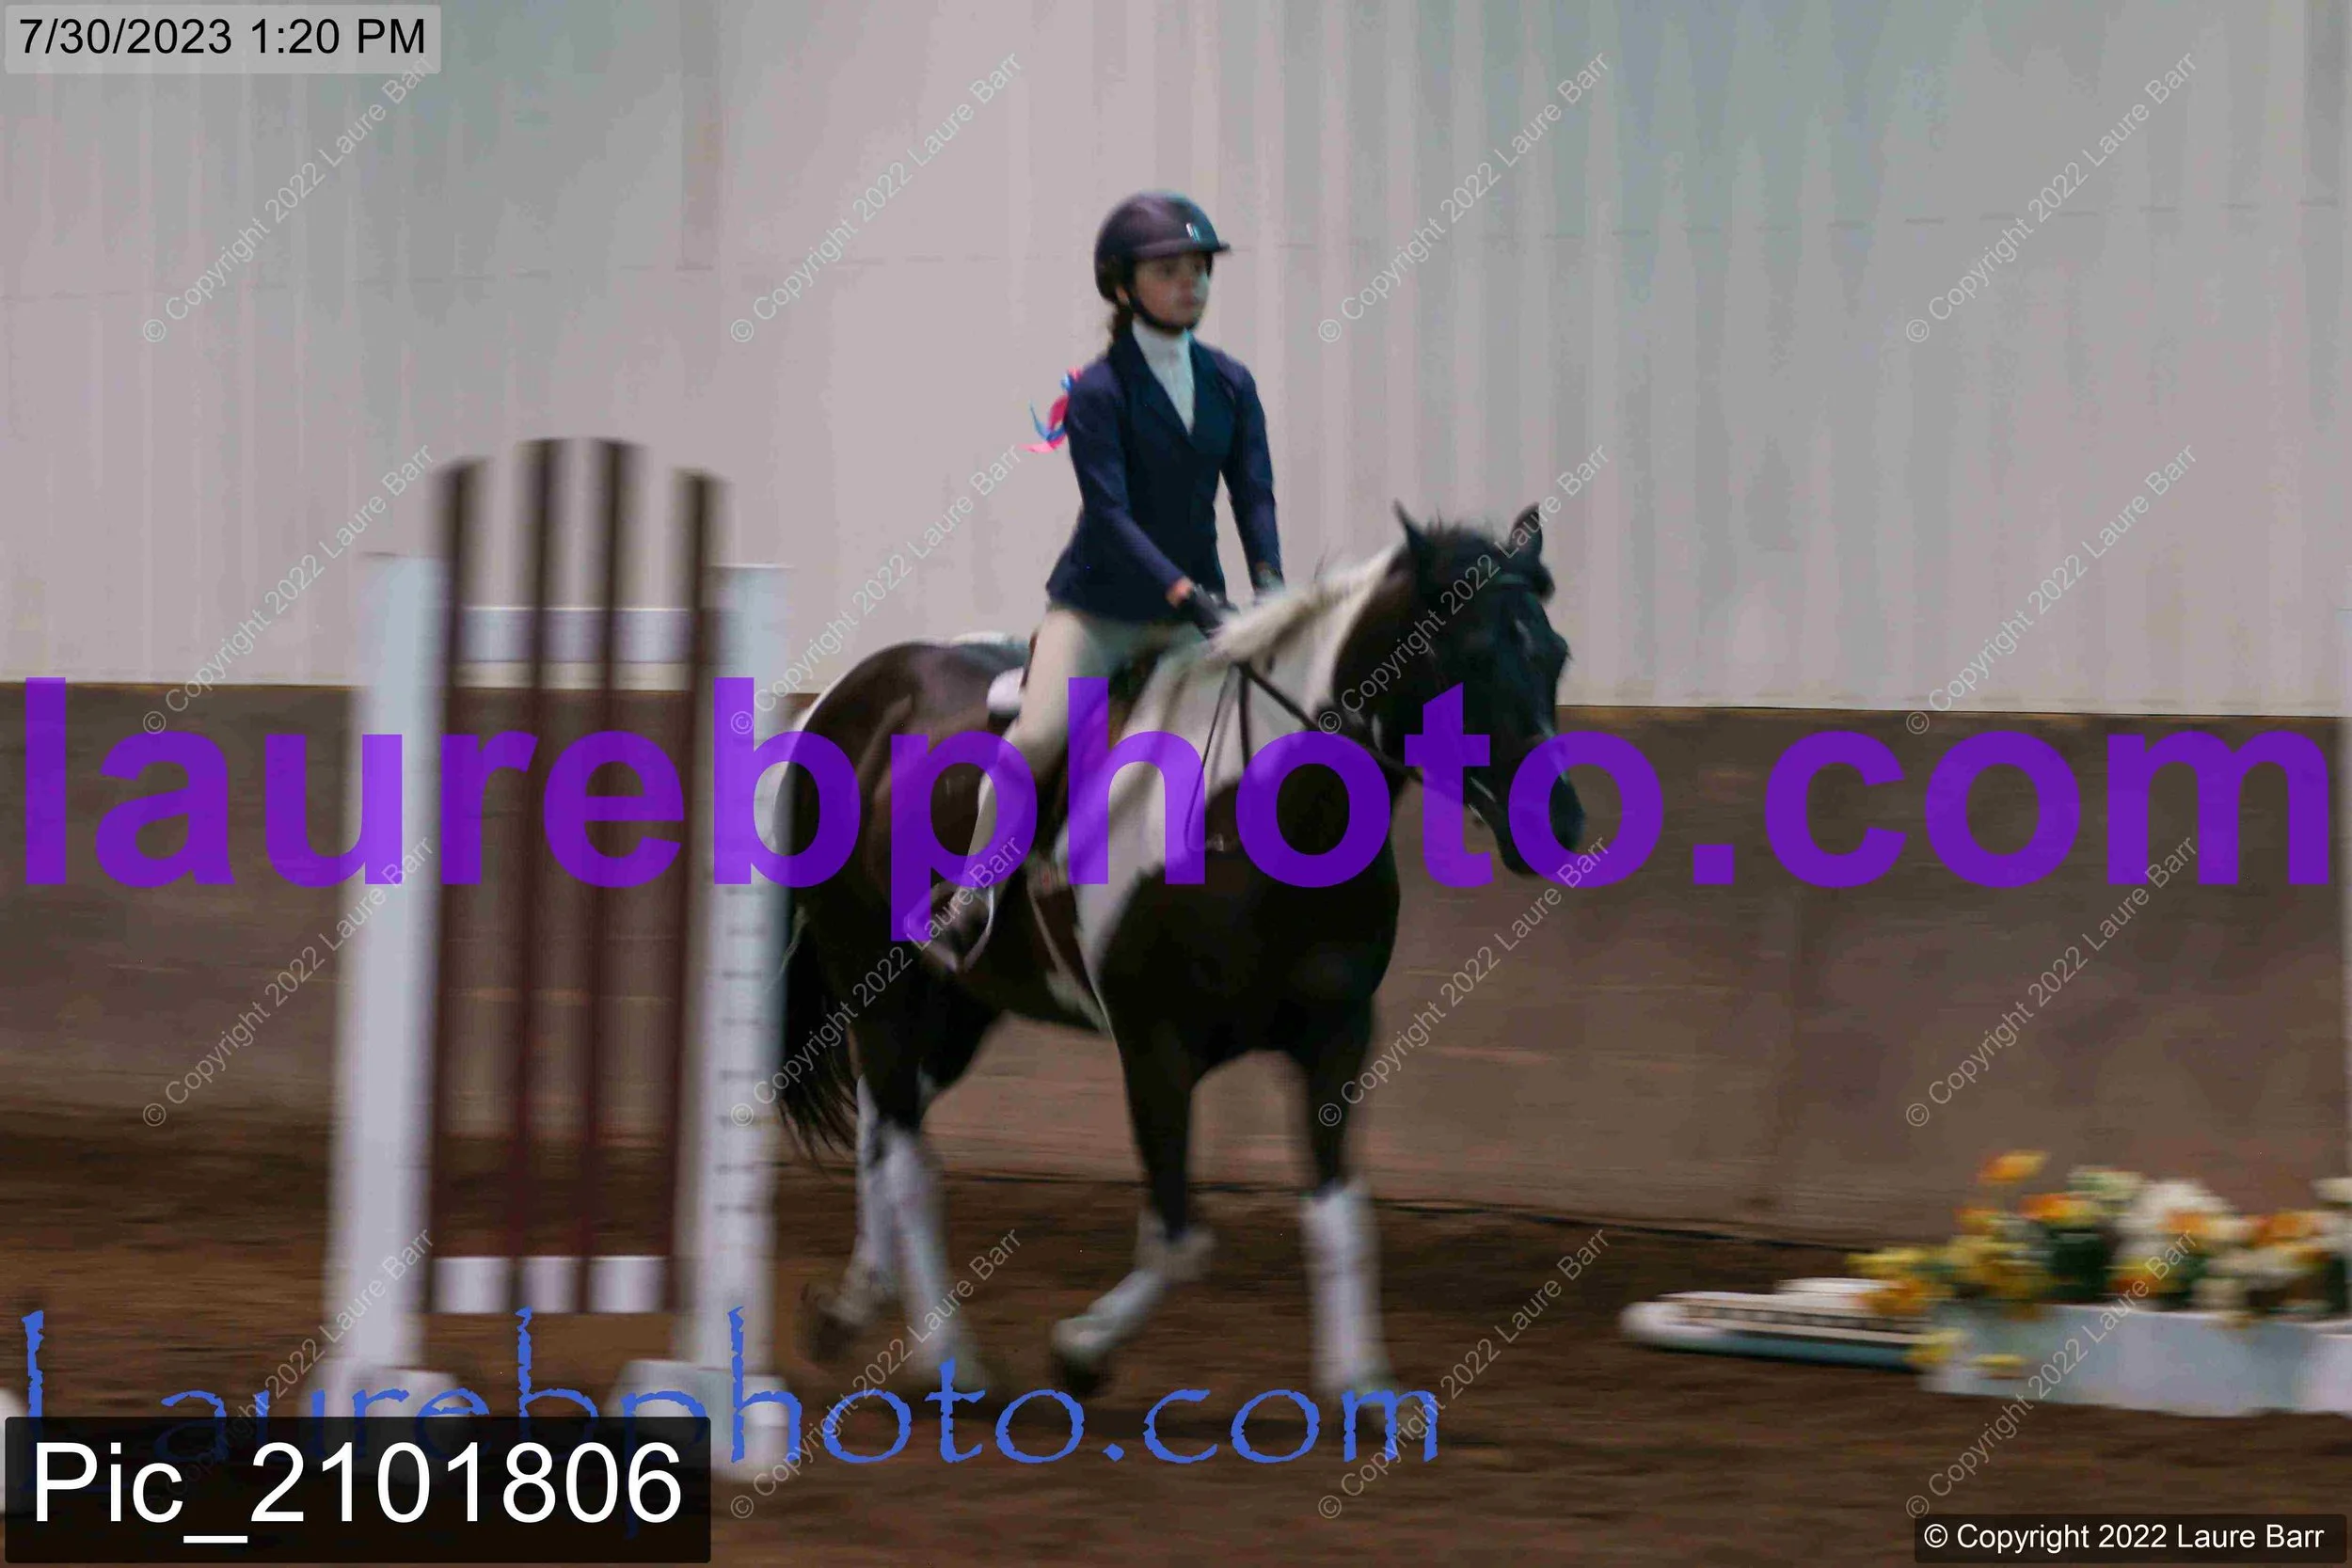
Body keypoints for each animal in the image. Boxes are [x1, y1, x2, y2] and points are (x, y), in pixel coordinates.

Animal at [767, 503, 1586, 1402]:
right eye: (1470, 655)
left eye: (1554, 654)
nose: (1560, 825)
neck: (1268, 814)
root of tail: (843, 696)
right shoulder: (1155, 1046)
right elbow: (1179, 1236)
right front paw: (1080, 1348)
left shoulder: (1336, 1033)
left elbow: (1340, 1213)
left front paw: (1362, 1386)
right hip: (873, 979)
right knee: (904, 1154)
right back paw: (947, 1355)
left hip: (954, 1004)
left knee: (886, 1130)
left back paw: (854, 1311)